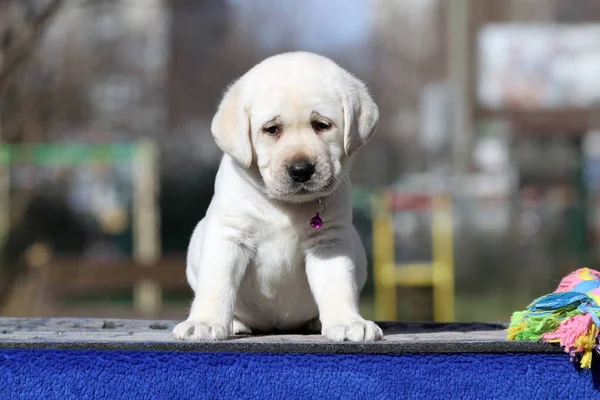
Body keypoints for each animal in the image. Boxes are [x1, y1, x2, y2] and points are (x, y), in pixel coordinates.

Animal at [171, 51, 382, 342]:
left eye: (322, 125)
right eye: (272, 129)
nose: (301, 170)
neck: (286, 206)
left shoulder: (329, 241)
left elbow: (338, 283)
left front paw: (348, 322)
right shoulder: (229, 234)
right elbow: (217, 283)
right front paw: (203, 322)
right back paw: (235, 323)